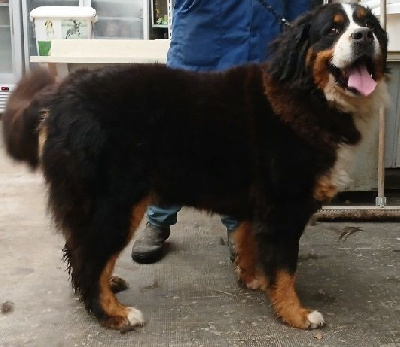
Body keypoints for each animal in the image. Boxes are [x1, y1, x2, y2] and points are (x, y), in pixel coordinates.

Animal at [2, 3, 388, 334]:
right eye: (333, 29)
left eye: (368, 23)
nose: (363, 36)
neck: (308, 96)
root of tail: (59, 95)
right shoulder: (282, 209)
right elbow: (284, 269)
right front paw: (296, 313)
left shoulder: (256, 205)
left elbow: (247, 242)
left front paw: (252, 278)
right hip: (115, 203)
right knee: (88, 259)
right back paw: (113, 314)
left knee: (80, 250)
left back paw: (108, 285)